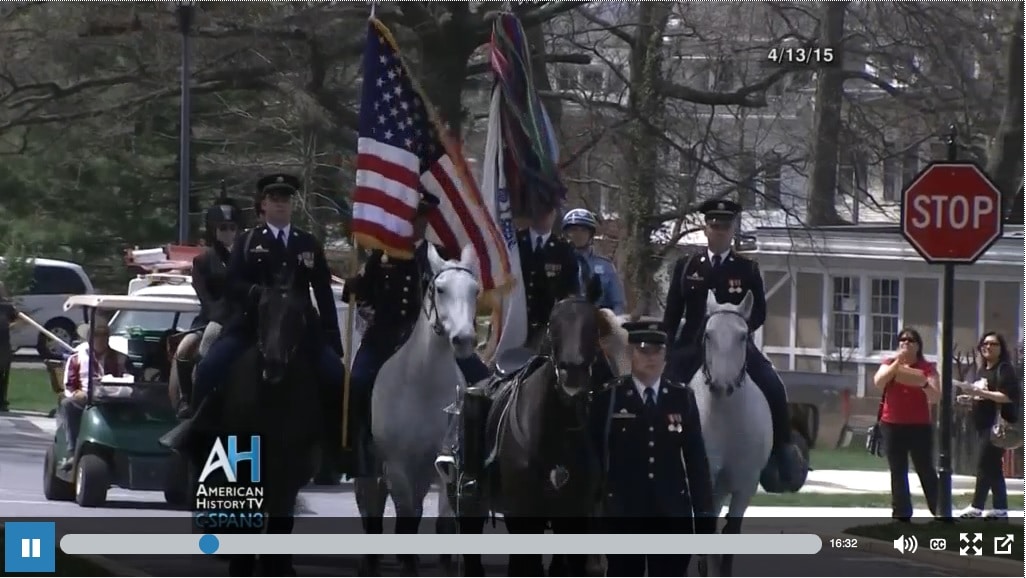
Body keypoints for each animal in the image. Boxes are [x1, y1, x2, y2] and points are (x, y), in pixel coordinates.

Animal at [352, 244, 480, 578]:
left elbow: (444, 525)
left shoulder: (447, 468)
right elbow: (406, 521)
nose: (464, 340)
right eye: (440, 288)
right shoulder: (397, 468)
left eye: (475, 290)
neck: (423, 386)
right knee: (371, 508)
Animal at [689, 291, 771, 574]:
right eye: (708, 334)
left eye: (743, 336)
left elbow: (730, 532)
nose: (722, 385)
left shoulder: (745, 485)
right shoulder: (705, 481)